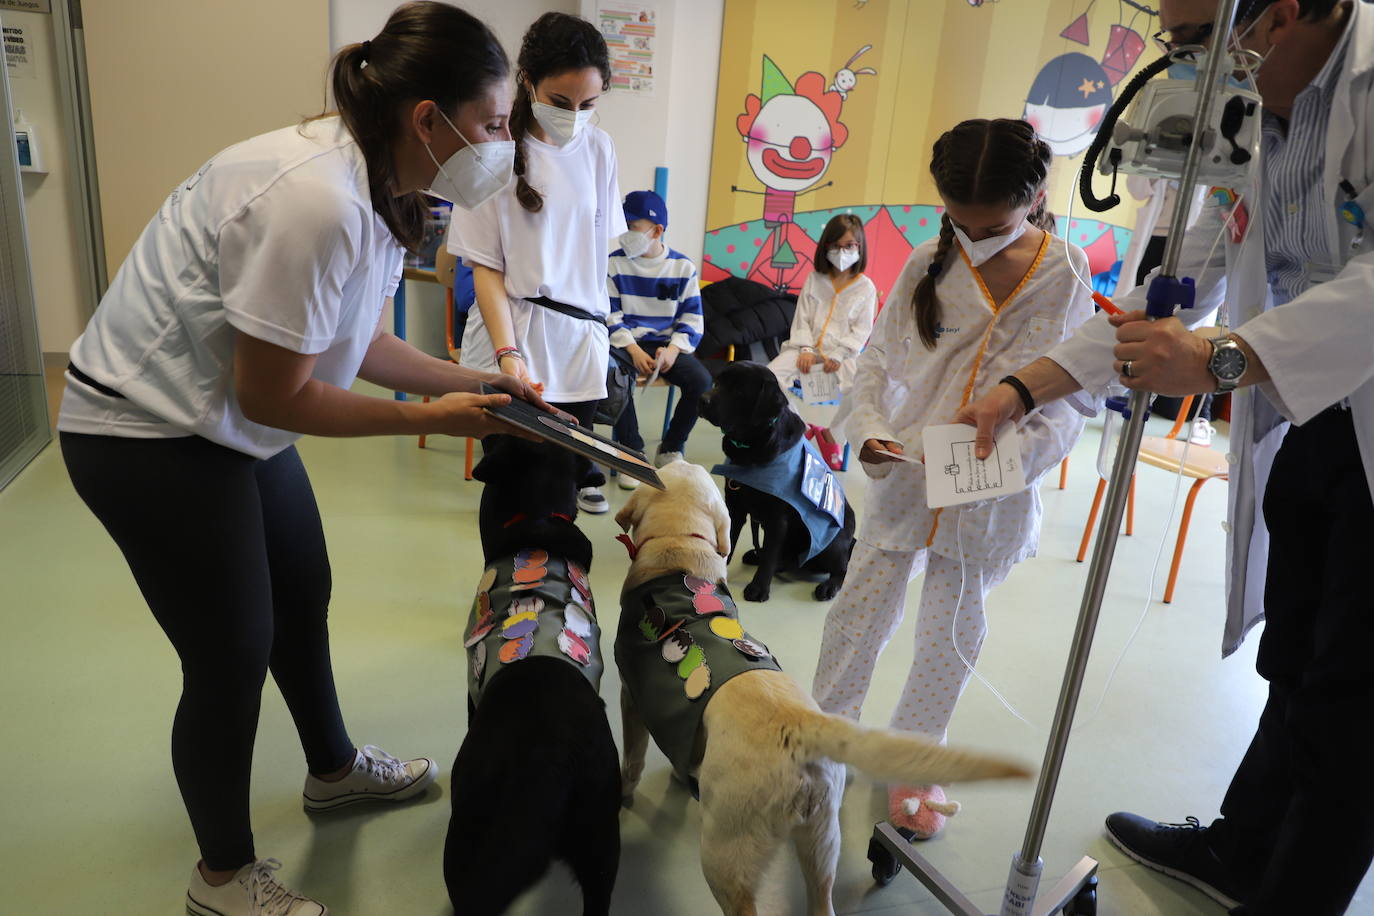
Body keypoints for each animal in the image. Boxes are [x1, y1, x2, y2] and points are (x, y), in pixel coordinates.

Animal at [618, 461, 1027, 916]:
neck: (680, 549)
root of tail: (798, 726)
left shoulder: (631, 696)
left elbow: (632, 760)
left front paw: (623, 799)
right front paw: (679, 773)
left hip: (725, 854)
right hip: (822, 841)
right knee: (822, 901)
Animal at [703, 362, 851, 604]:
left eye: (738, 391)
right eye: (717, 382)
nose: (702, 399)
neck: (750, 448)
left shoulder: (777, 519)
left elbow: (770, 556)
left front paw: (758, 588)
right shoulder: (735, 507)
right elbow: (729, 543)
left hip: (832, 543)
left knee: (842, 567)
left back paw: (829, 586)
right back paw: (757, 555)